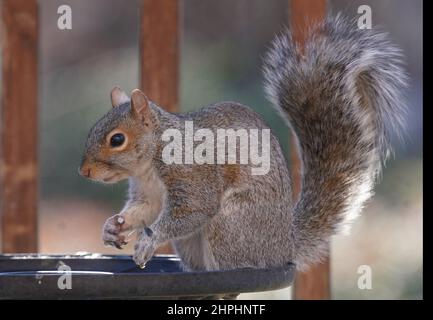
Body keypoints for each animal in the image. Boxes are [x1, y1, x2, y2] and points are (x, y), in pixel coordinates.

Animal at [78, 15, 404, 272]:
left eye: (117, 139)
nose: (84, 172)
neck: (150, 162)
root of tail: (283, 248)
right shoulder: (147, 193)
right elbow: (143, 210)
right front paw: (113, 227)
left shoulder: (191, 174)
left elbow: (192, 210)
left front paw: (149, 240)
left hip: (231, 225)